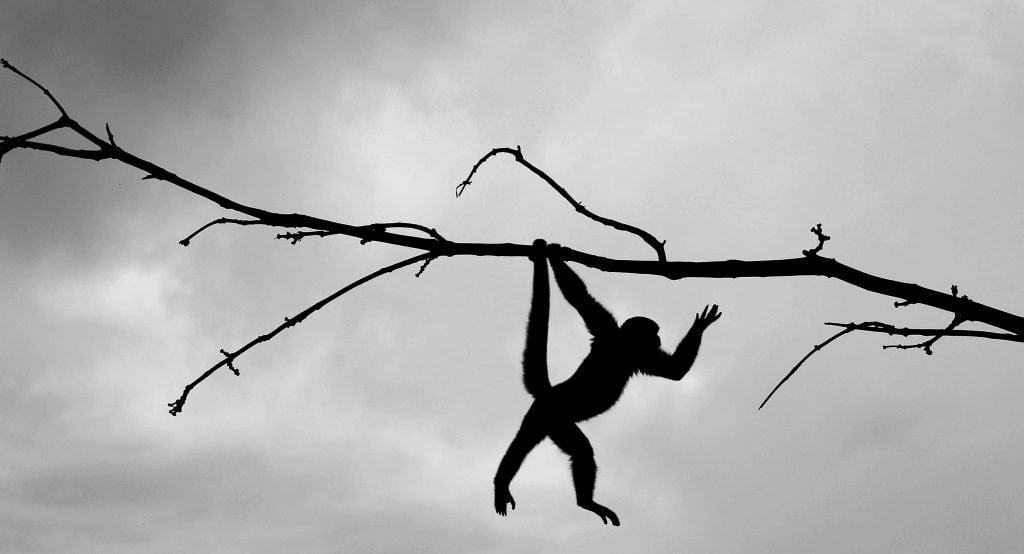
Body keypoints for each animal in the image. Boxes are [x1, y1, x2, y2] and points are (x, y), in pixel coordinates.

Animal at [494, 240, 721, 526]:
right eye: (655, 332)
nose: (659, 339)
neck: (623, 346)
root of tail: (551, 392)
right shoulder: (611, 332)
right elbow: (579, 297)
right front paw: (555, 253)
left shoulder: (635, 353)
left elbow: (675, 371)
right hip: (554, 417)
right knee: (579, 451)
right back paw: (583, 501)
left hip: (544, 420)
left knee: (527, 444)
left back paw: (507, 482)